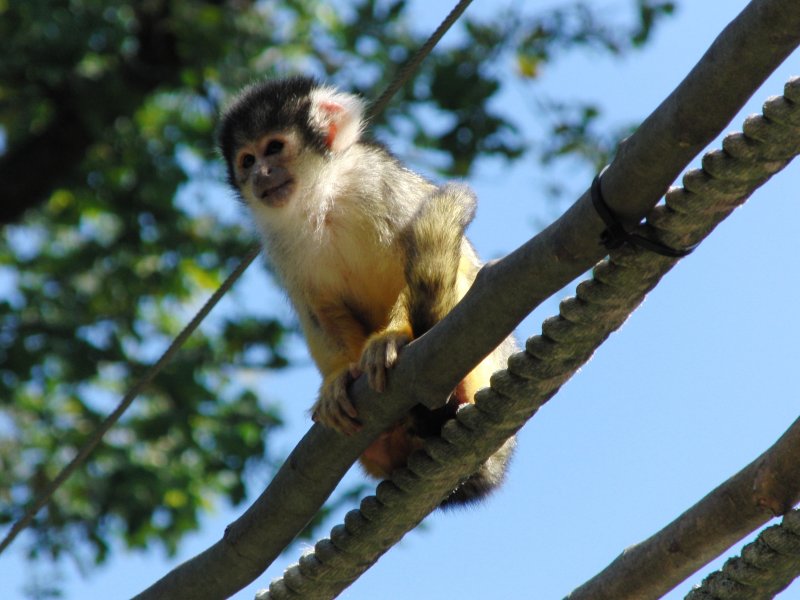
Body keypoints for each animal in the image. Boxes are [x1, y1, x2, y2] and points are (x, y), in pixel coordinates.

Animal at [219, 76, 516, 506]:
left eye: (273, 148)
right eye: (246, 160)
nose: (260, 173)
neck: (323, 196)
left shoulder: (378, 180)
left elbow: (430, 259)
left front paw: (391, 339)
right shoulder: (277, 240)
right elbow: (318, 308)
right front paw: (339, 377)